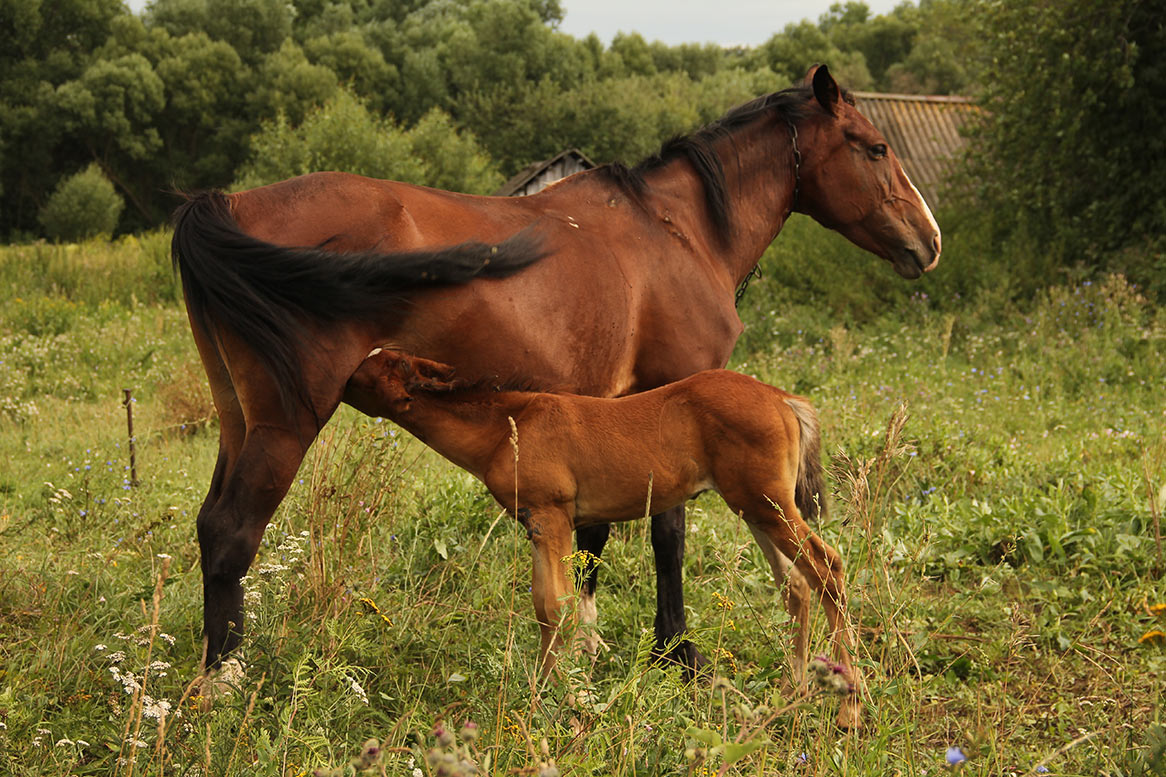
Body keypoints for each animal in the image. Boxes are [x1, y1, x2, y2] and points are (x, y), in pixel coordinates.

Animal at [340, 347, 862, 723]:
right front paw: (549, 694)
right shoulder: (538, 524)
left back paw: (849, 708)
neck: (508, 426)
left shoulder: (551, 516)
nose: (339, 377)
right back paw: (789, 695)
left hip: (767, 505)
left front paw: (566, 703)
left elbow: (558, 606)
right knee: (797, 585)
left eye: (370, 368)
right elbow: (544, 607)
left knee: (827, 567)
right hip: (758, 508)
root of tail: (782, 398)